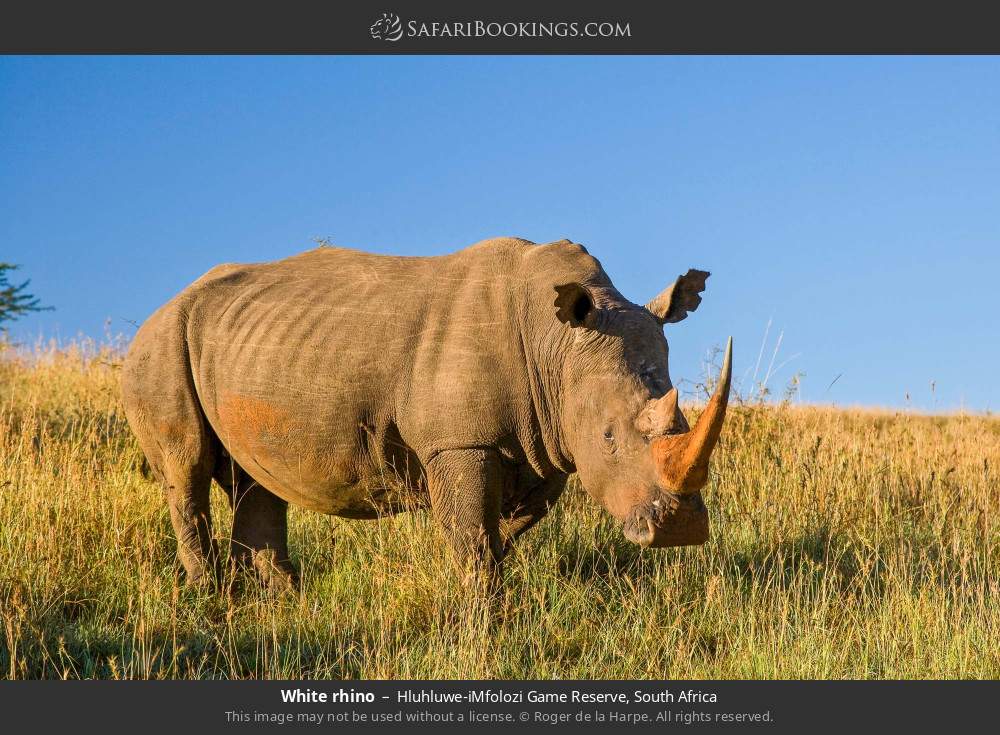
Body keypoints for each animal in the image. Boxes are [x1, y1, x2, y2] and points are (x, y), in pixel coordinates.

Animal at [121, 237, 732, 589]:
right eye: (608, 438)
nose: (679, 531)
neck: (558, 347)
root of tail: (161, 308)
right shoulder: (460, 441)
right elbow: (473, 538)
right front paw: (483, 617)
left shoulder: (546, 441)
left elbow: (500, 531)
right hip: (159, 344)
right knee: (186, 468)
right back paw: (210, 594)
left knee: (255, 479)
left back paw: (278, 602)